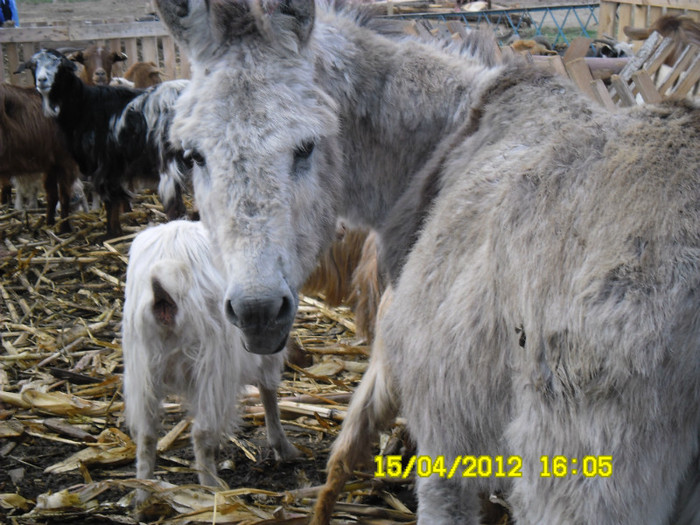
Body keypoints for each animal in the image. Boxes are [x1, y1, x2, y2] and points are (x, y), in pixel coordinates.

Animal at [0, 84, 79, 231]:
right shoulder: (66, 160)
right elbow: (64, 196)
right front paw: (64, 228)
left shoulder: (52, 162)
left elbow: (52, 195)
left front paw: (50, 223)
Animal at [18, 49, 189, 237]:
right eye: (33, 65)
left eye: (61, 65)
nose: (42, 80)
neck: (84, 104)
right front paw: (116, 230)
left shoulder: (105, 163)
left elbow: (110, 200)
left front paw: (110, 234)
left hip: (169, 161)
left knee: (176, 207)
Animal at [123, 219, 298, 502]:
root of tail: (162, 285)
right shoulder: (269, 344)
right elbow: (269, 393)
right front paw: (283, 448)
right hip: (212, 365)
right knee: (201, 432)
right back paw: (211, 490)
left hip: (141, 368)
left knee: (147, 434)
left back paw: (143, 495)